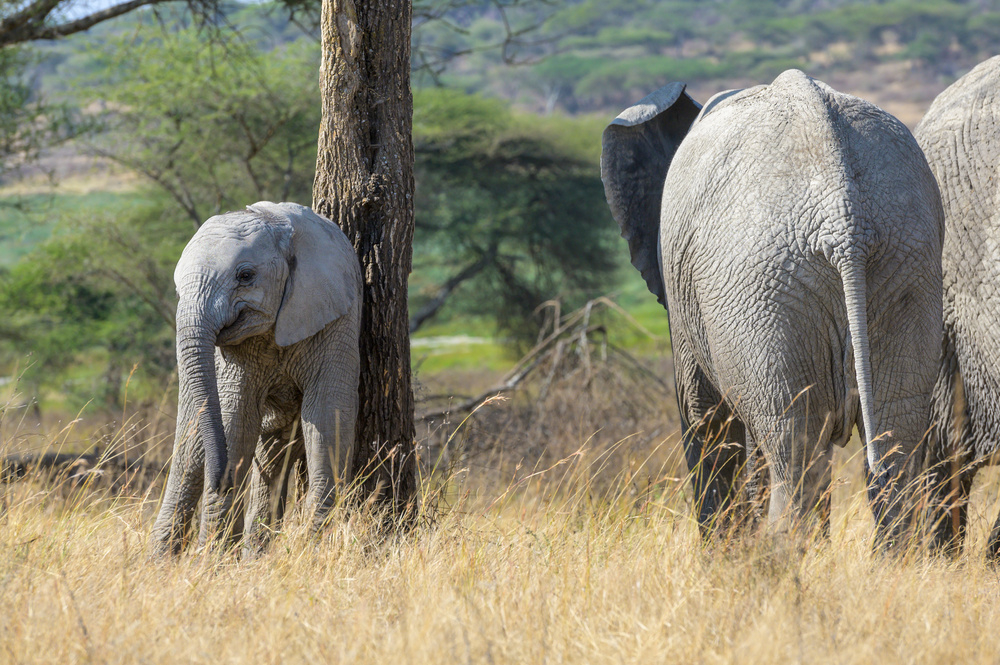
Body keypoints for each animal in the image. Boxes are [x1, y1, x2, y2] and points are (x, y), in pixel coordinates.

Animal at [150, 201, 362, 556]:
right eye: (178, 287)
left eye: (246, 276)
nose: (221, 481)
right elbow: (236, 422)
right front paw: (214, 560)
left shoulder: (338, 318)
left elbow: (327, 416)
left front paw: (313, 546)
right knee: (190, 455)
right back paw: (160, 562)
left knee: (272, 455)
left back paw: (253, 554)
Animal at [601, 70, 944, 546]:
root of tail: (844, 219)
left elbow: (704, 421)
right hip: (904, 266)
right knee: (894, 446)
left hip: (764, 286)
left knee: (791, 454)